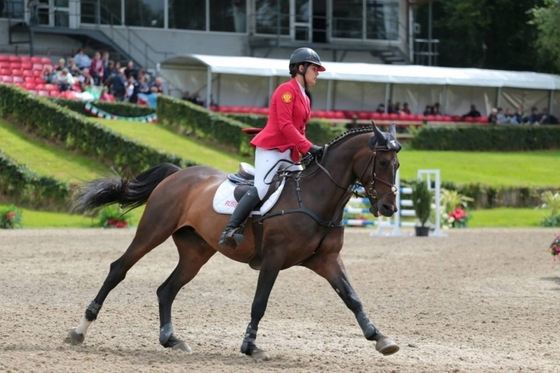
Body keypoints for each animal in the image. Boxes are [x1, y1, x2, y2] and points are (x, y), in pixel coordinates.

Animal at [64, 122, 402, 360]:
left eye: (397, 165)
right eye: (383, 163)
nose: (389, 208)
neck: (318, 197)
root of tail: (177, 174)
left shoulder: (327, 260)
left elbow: (352, 298)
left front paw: (380, 338)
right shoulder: (274, 259)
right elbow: (259, 304)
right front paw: (251, 347)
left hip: (196, 251)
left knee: (167, 289)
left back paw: (172, 339)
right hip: (152, 231)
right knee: (118, 269)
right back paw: (79, 330)